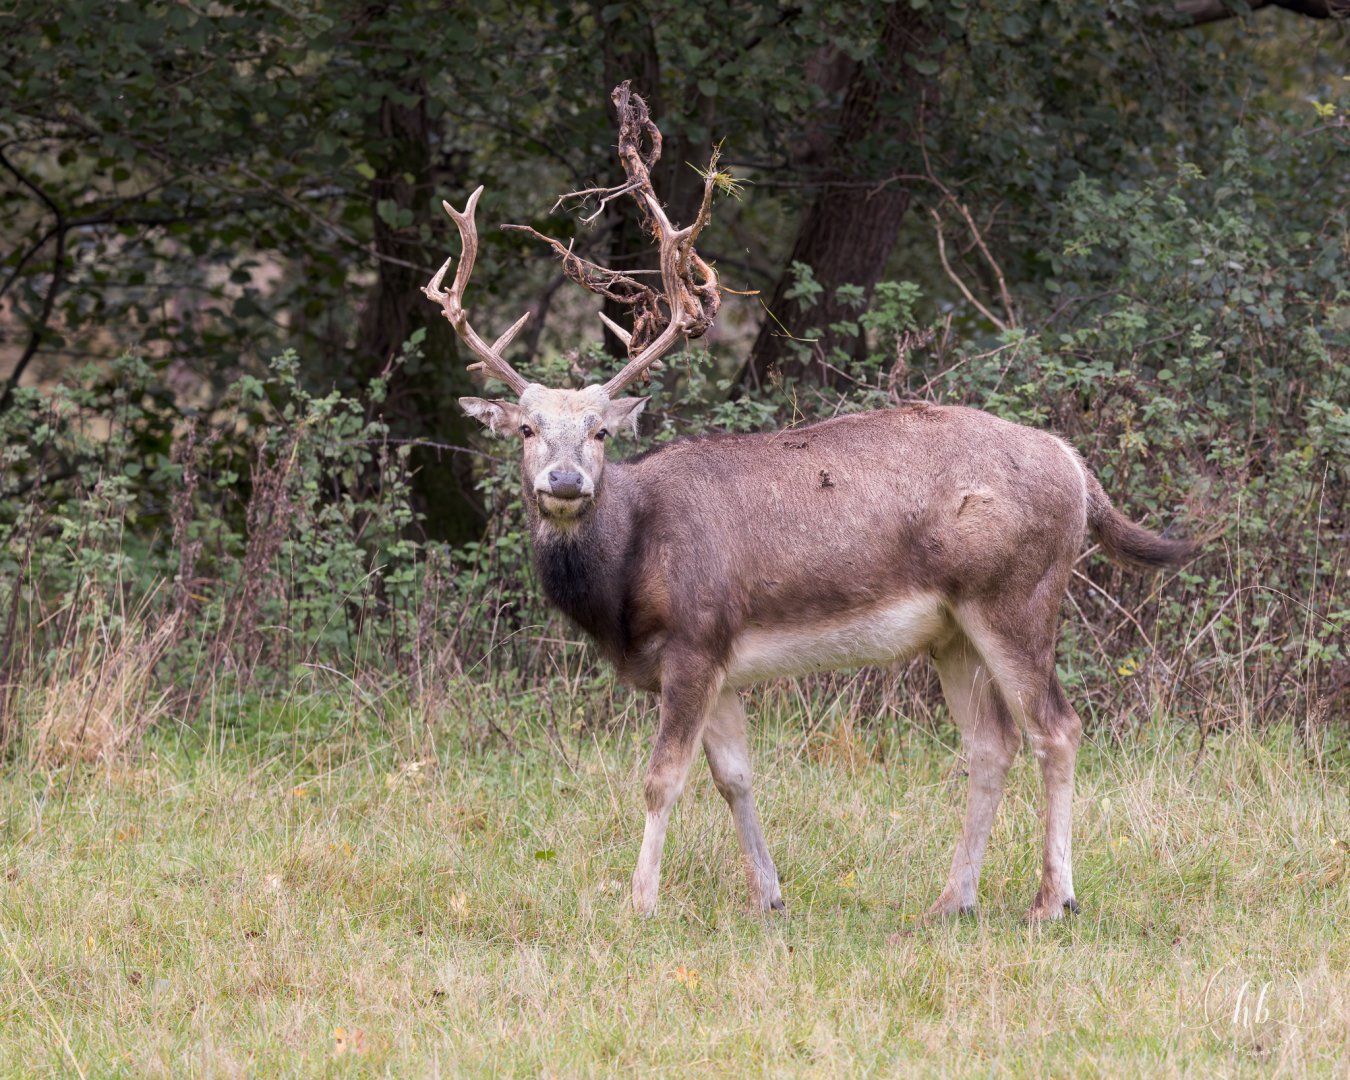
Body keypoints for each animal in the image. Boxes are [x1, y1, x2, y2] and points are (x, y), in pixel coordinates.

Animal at [426, 84, 1195, 923]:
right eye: (527, 428)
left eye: (600, 431)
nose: (565, 483)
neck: (627, 577)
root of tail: (1075, 465)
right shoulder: (720, 664)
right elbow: (735, 778)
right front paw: (769, 896)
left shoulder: (697, 636)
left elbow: (662, 780)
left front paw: (640, 903)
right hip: (954, 628)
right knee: (993, 743)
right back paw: (952, 899)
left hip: (1016, 594)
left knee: (1058, 727)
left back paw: (1052, 900)